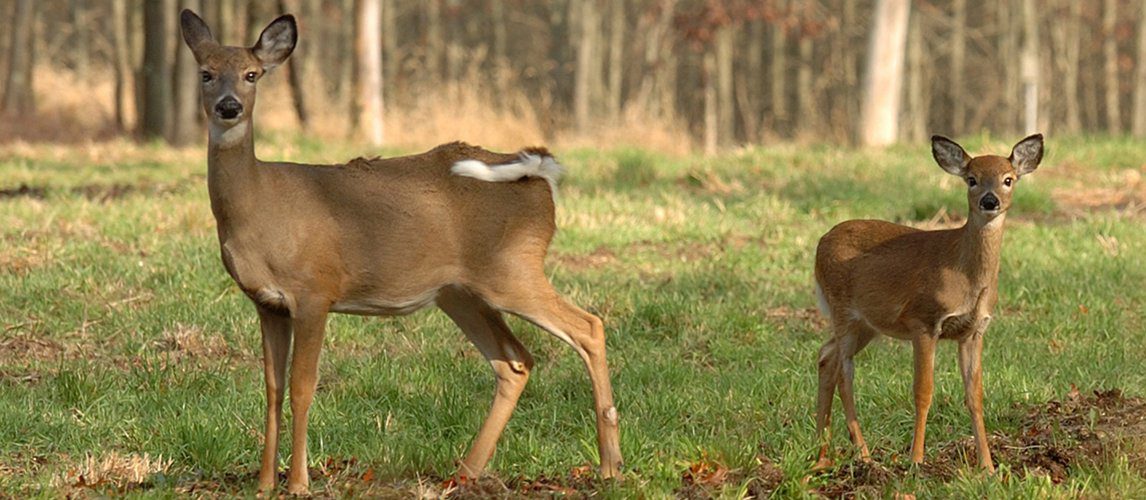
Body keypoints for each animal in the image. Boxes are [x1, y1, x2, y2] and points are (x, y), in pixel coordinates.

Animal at [178, 10, 622, 495]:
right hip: (460, 292)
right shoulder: (267, 303)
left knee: (589, 327)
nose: (229, 107)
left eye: (251, 74)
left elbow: (302, 386)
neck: (258, 208)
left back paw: (610, 467)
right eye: (206, 73)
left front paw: (297, 484)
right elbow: (273, 388)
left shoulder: (315, 290)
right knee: (515, 361)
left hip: (511, 269)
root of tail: (541, 176)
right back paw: (465, 473)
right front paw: (263, 485)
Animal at [812, 134, 1044, 473]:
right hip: (843, 309)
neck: (965, 274)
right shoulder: (922, 320)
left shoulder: (974, 330)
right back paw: (863, 456)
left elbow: (975, 396)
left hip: (866, 323)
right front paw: (917, 460)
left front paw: (988, 466)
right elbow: (923, 392)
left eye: (1008, 179)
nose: (990, 201)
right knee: (843, 373)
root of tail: (820, 242)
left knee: (826, 356)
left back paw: (822, 450)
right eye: (971, 179)